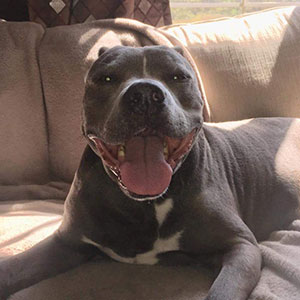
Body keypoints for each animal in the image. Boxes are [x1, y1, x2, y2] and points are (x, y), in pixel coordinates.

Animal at [0, 45, 300, 300]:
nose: (144, 94)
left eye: (178, 76)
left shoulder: (241, 246)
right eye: (106, 78)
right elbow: (12, 269)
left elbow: (222, 292)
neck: (145, 204)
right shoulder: (66, 243)